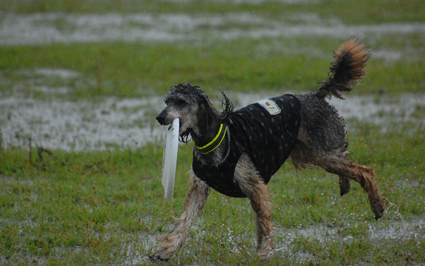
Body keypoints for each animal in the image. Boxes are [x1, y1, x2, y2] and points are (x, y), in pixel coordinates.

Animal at [150, 37, 384, 262]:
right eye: (167, 101)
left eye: (181, 102)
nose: (160, 117)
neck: (213, 140)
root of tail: (316, 95)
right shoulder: (199, 188)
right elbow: (184, 221)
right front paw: (166, 251)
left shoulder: (254, 185)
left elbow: (263, 221)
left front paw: (263, 251)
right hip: (311, 154)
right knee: (346, 161)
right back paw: (345, 185)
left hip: (323, 153)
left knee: (363, 171)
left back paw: (377, 205)